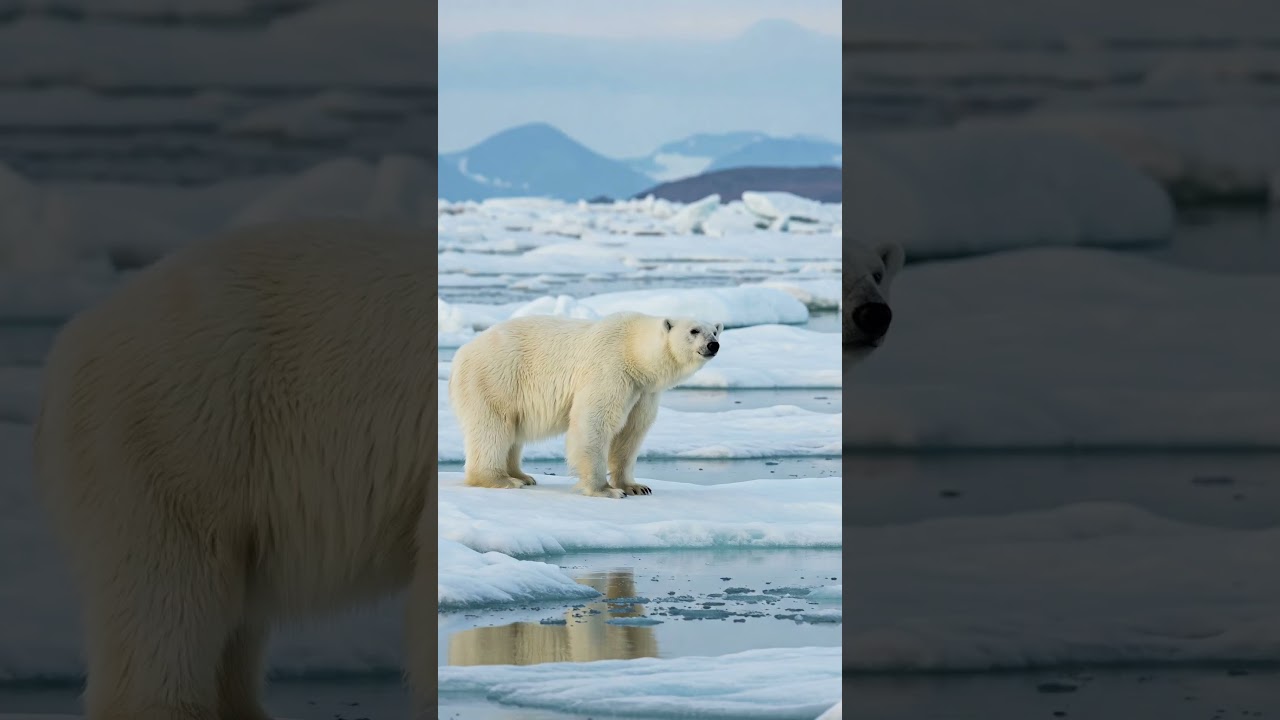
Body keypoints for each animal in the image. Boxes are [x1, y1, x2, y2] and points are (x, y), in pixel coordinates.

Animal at [448, 312, 722, 499]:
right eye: (694, 330)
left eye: (715, 331)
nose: (713, 345)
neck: (634, 350)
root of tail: (462, 352)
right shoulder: (611, 369)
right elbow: (594, 422)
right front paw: (605, 490)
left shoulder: (643, 391)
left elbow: (631, 432)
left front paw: (636, 486)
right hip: (496, 378)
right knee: (493, 427)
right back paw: (501, 479)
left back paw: (522, 475)